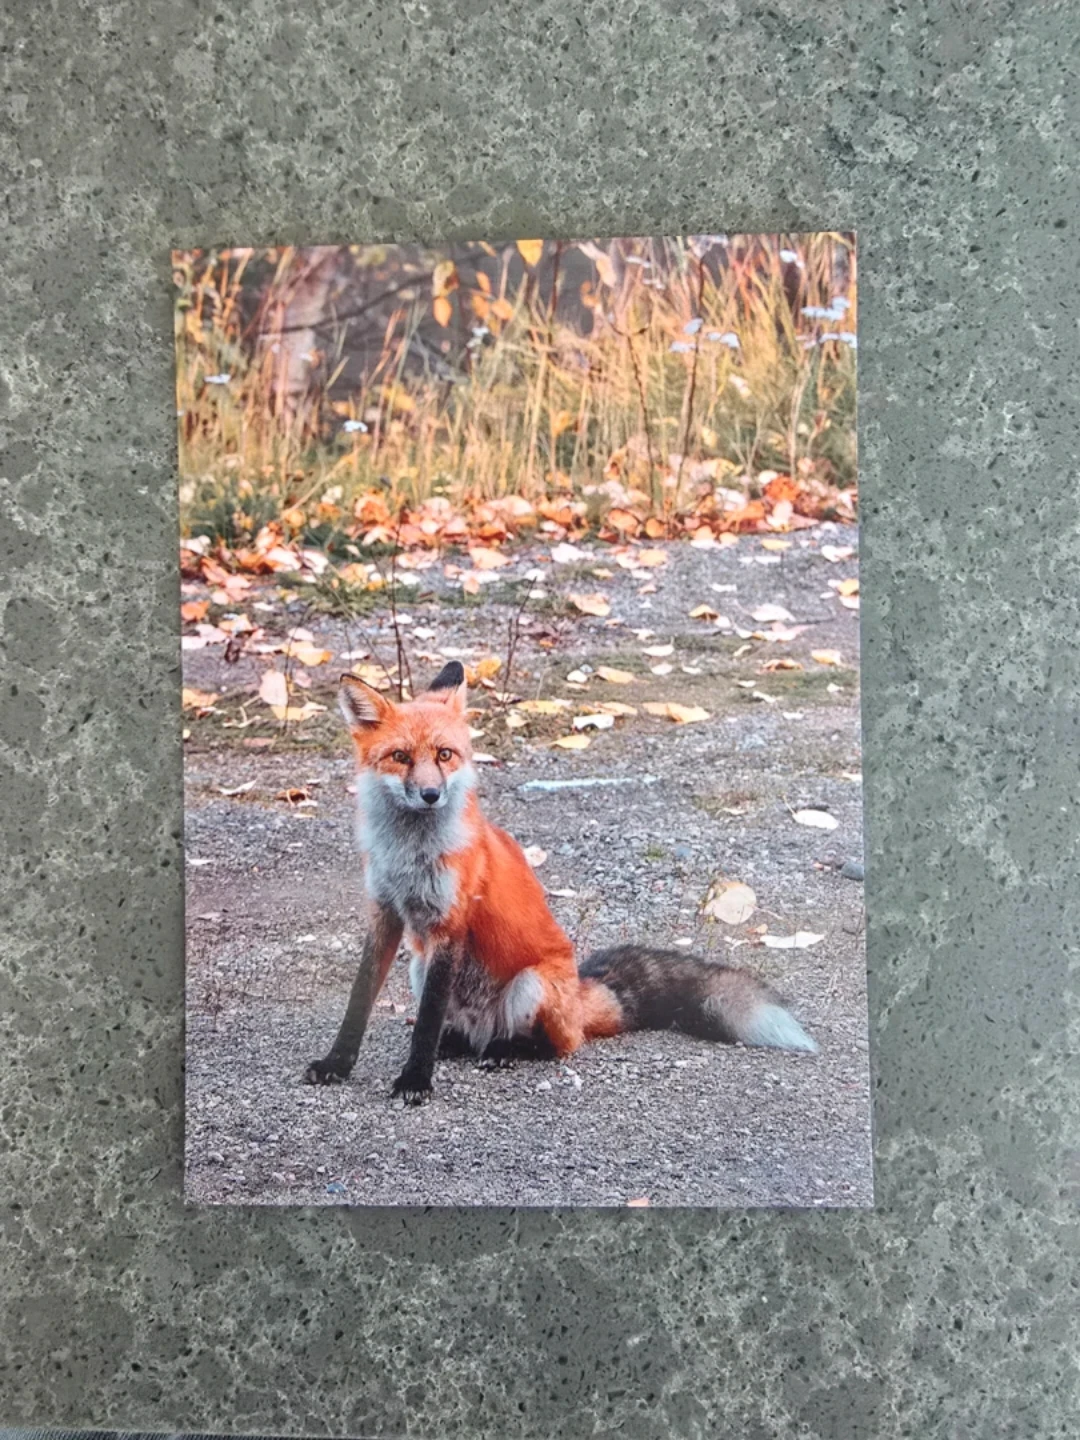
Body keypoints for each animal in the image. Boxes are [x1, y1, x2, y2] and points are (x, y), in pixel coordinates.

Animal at [304, 661, 817, 1103]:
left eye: (445, 755)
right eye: (401, 757)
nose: (431, 794)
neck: (409, 855)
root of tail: (580, 997)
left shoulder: (449, 923)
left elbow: (426, 1021)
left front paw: (415, 1080)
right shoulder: (385, 913)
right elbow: (360, 1002)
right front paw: (337, 1064)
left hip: (530, 986)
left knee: (555, 1047)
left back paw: (505, 1051)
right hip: (419, 965)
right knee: (463, 1035)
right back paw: (459, 1044)